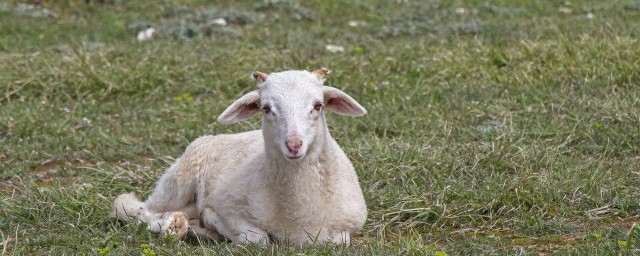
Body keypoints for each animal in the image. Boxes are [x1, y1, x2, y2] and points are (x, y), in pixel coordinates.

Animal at [112, 68, 368, 246]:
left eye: (318, 105)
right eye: (266, 108)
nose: (294, 145)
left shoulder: (347, 227)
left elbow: (339, 240)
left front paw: (207, 227)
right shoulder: (229, 206)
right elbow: (258, 239)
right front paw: (211, 221)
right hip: (178, 181)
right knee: (141, 211)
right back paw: (174, 226)